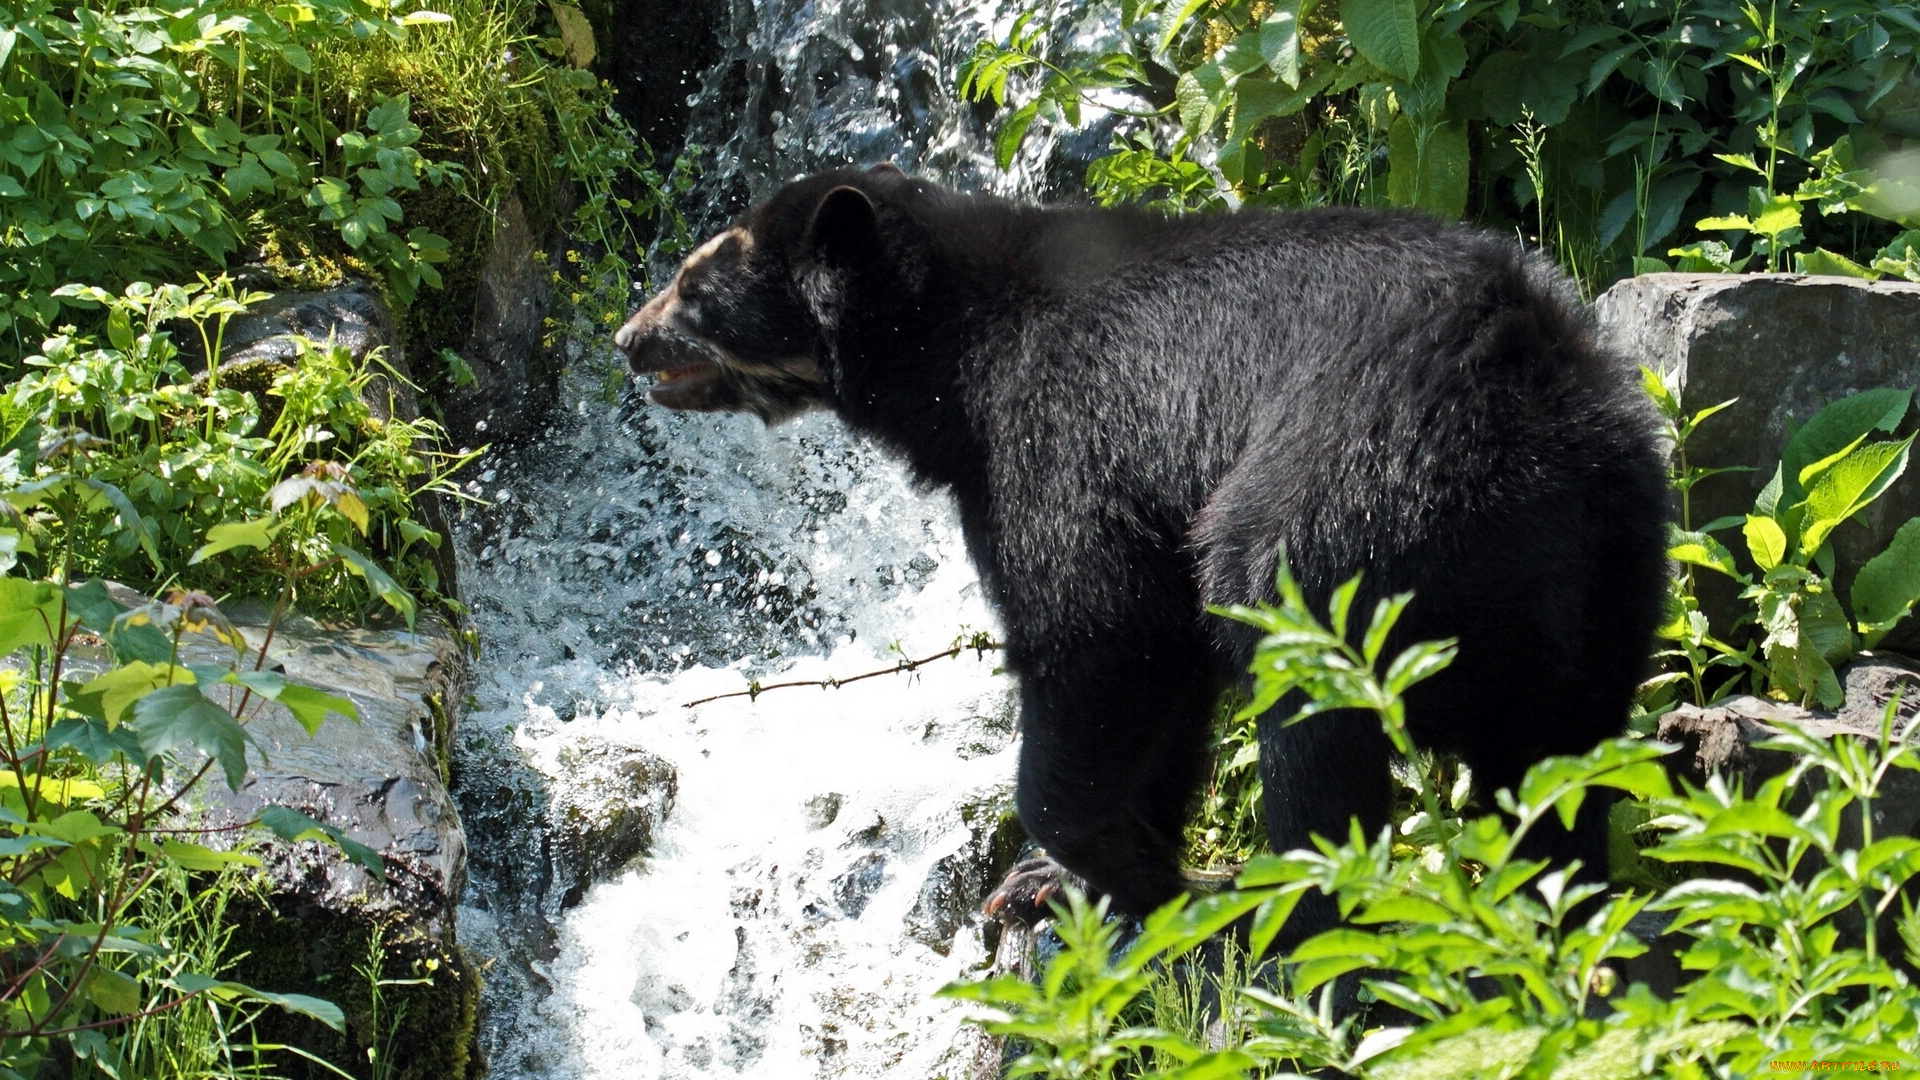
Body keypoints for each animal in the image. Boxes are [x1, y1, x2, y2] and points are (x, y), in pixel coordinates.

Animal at [614, 161, 1666, 933]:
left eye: (695, 286)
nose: (628, 339)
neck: (953, 355)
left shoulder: (1062, 435)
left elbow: (1093, 628)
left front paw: (1106, 862)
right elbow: (1165, 678)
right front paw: (1063, 878)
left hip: (1342, 507)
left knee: (1310, 711)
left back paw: (1304, 912)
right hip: (1613, 570)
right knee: (1554, 765)